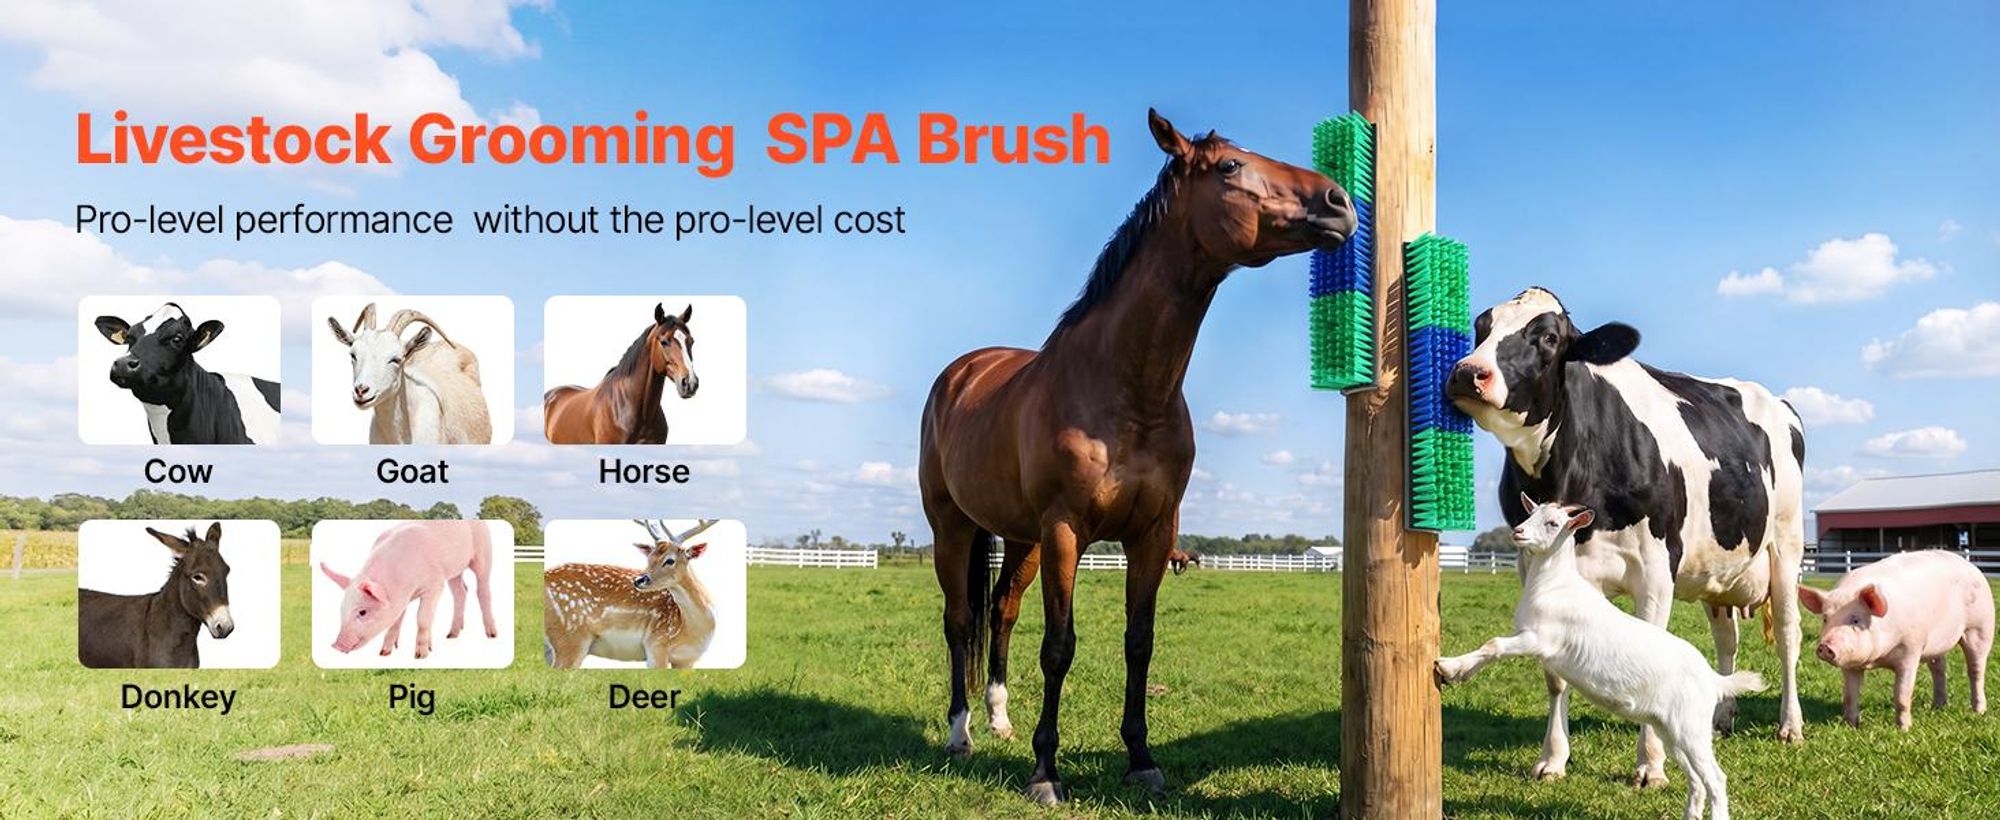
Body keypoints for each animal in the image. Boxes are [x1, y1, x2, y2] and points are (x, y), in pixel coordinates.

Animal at [920, 109, 1354, 804]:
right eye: (1231, 166)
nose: (1340, 204)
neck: (1124, 390)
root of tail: (961, 373)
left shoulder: (1153, 533)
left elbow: (1139, 643)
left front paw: (1142, 759)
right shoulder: (1066, 530)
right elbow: (1060, 646)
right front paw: (1046, 773)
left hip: (1020, 538)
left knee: (1003, 613)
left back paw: (998, 719)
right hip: (953, 527)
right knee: (960, 621)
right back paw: (960, 734)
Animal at [1436, 495, 1765, 820]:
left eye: (1553, 523)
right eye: (1531, 514)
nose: (1518, 531)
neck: (1556, 584)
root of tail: (1713, 679)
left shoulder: (1539, 639)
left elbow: (1494, 645)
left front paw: (1451, 668)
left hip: (1691, 727)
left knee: (1716, 778)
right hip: (1671, 730)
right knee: (1696, 778)